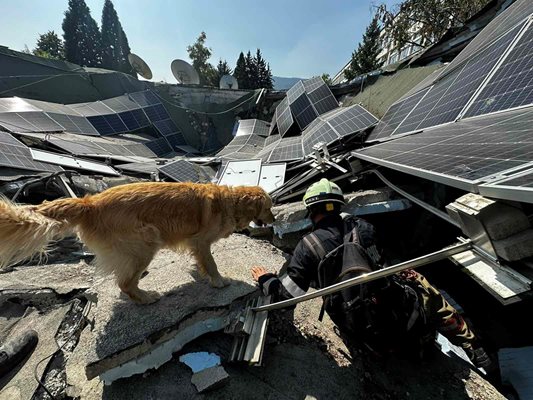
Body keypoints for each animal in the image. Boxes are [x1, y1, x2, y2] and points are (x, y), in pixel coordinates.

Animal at [0, 184, 274, 304]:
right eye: (269, 207)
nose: (274, 219)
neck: (230, 202)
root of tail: (90, 203)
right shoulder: (201, 240)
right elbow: (212, 263)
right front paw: (219, 281)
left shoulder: (195, 243)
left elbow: (202, 262)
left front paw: (200, 273)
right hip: (146, 242)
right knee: (124, 283)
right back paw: (146, 297)